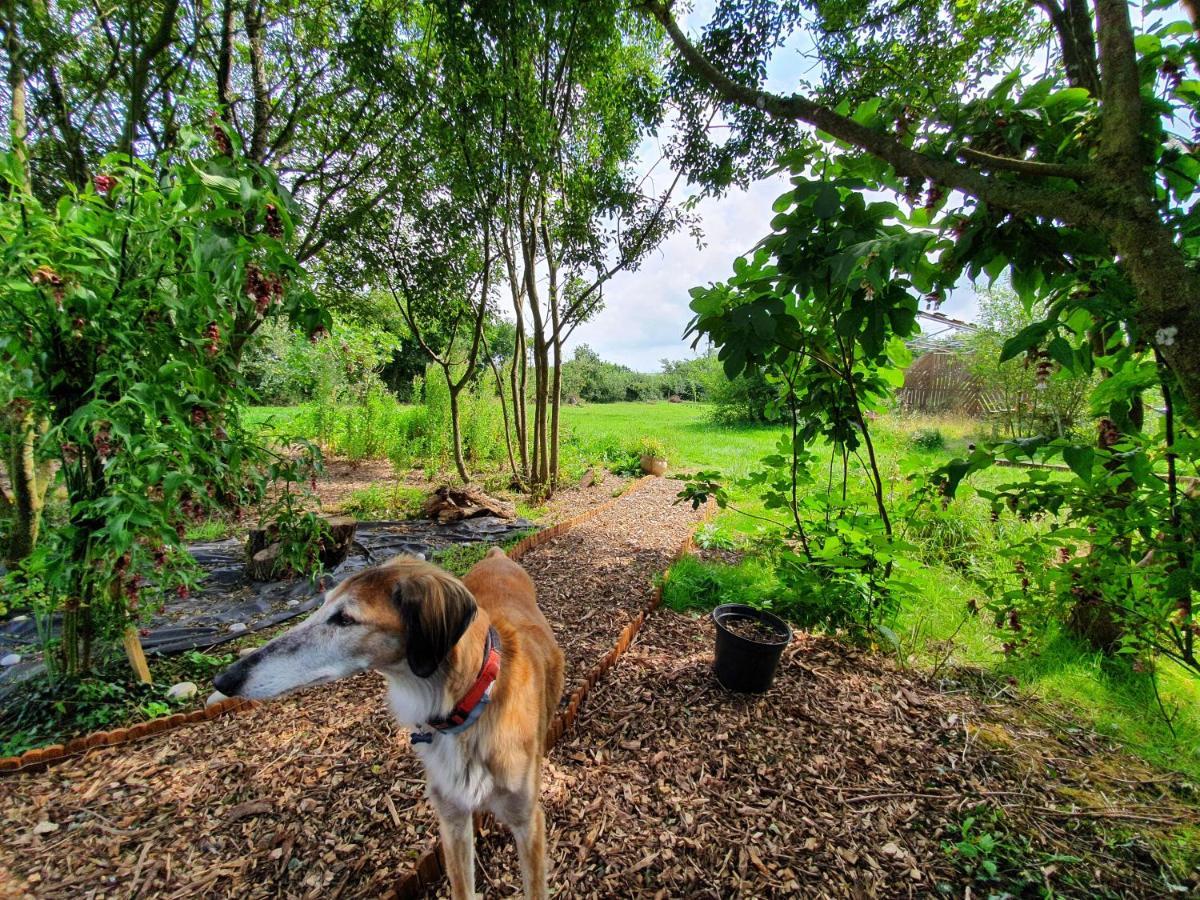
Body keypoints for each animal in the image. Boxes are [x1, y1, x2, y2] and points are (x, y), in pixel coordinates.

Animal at [214, 549, 566, 900]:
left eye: (345, 619)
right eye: (323, 604)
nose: (224, 680)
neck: (470, 705)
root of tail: (497, 554)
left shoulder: (528, 822)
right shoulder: (452, 820)